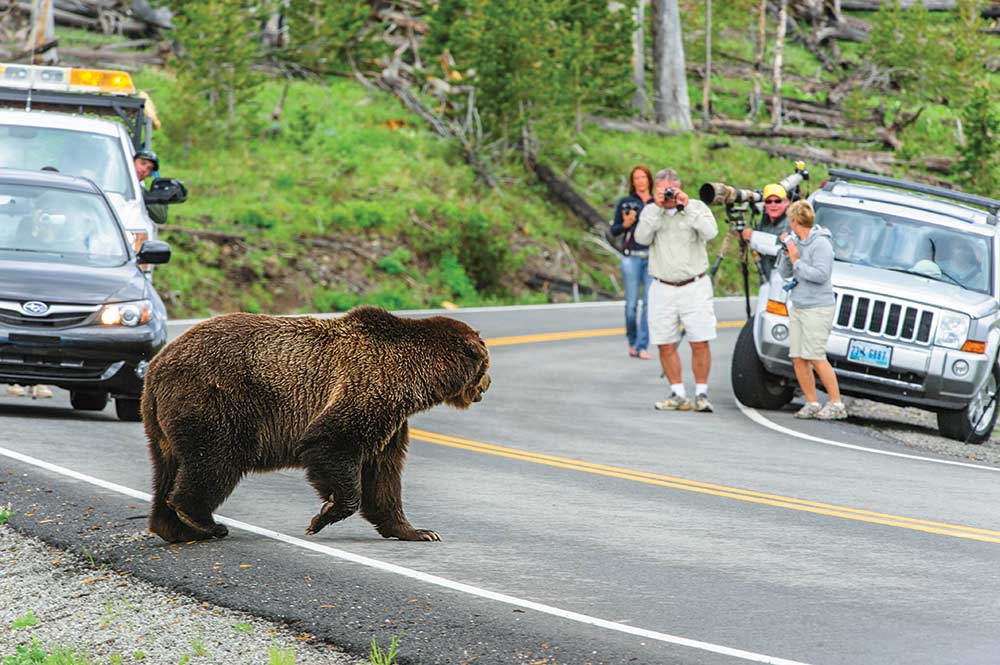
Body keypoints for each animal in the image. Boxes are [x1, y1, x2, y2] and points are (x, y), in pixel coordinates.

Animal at [143, 306, 494, 544]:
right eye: (486, 363)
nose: (488, 384)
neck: (415, 377)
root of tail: (157, 366)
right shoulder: (368, 386)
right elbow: (331, 442)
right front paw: (323, 515)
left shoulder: (392, 422)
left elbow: (383, 474)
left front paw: (418, 531)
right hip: (218, 399)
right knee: (215, 459)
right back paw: (204, 521)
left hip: (161, 423)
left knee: (168, 468)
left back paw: (173, 526)